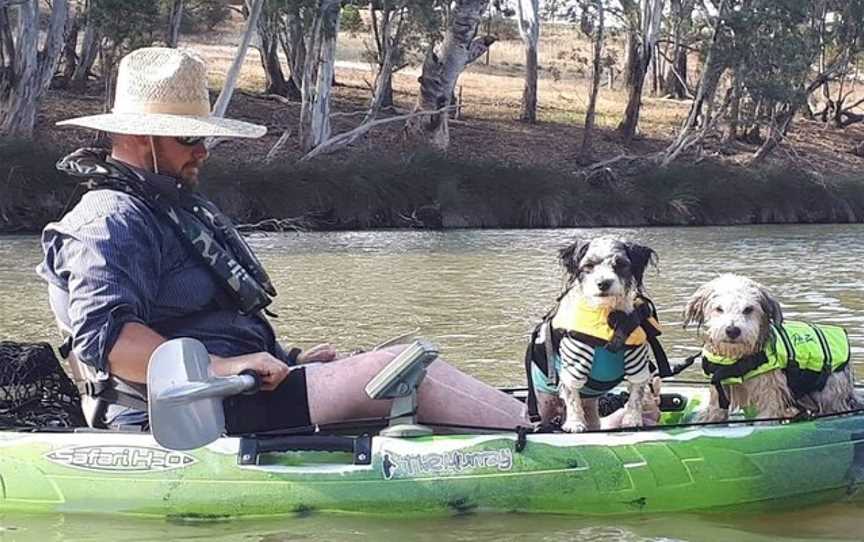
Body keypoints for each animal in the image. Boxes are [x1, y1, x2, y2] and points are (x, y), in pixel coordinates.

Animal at [528, 237, 660, 434]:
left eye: (620, 264)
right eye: (588, 265)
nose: (603, 283)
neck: (607, 315)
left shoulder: (636, 360)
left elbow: (636, 394)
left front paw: (633, 420)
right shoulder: (575, 360)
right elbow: (572, 395)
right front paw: (575, 423)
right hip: (544, 402)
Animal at [684, 274, 860, 422]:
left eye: (748, 309)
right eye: (719, 309)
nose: (732, 330)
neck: (737, 359)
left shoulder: (769, 392)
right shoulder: (719, 391)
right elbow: (714, 413)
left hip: (829, 393)